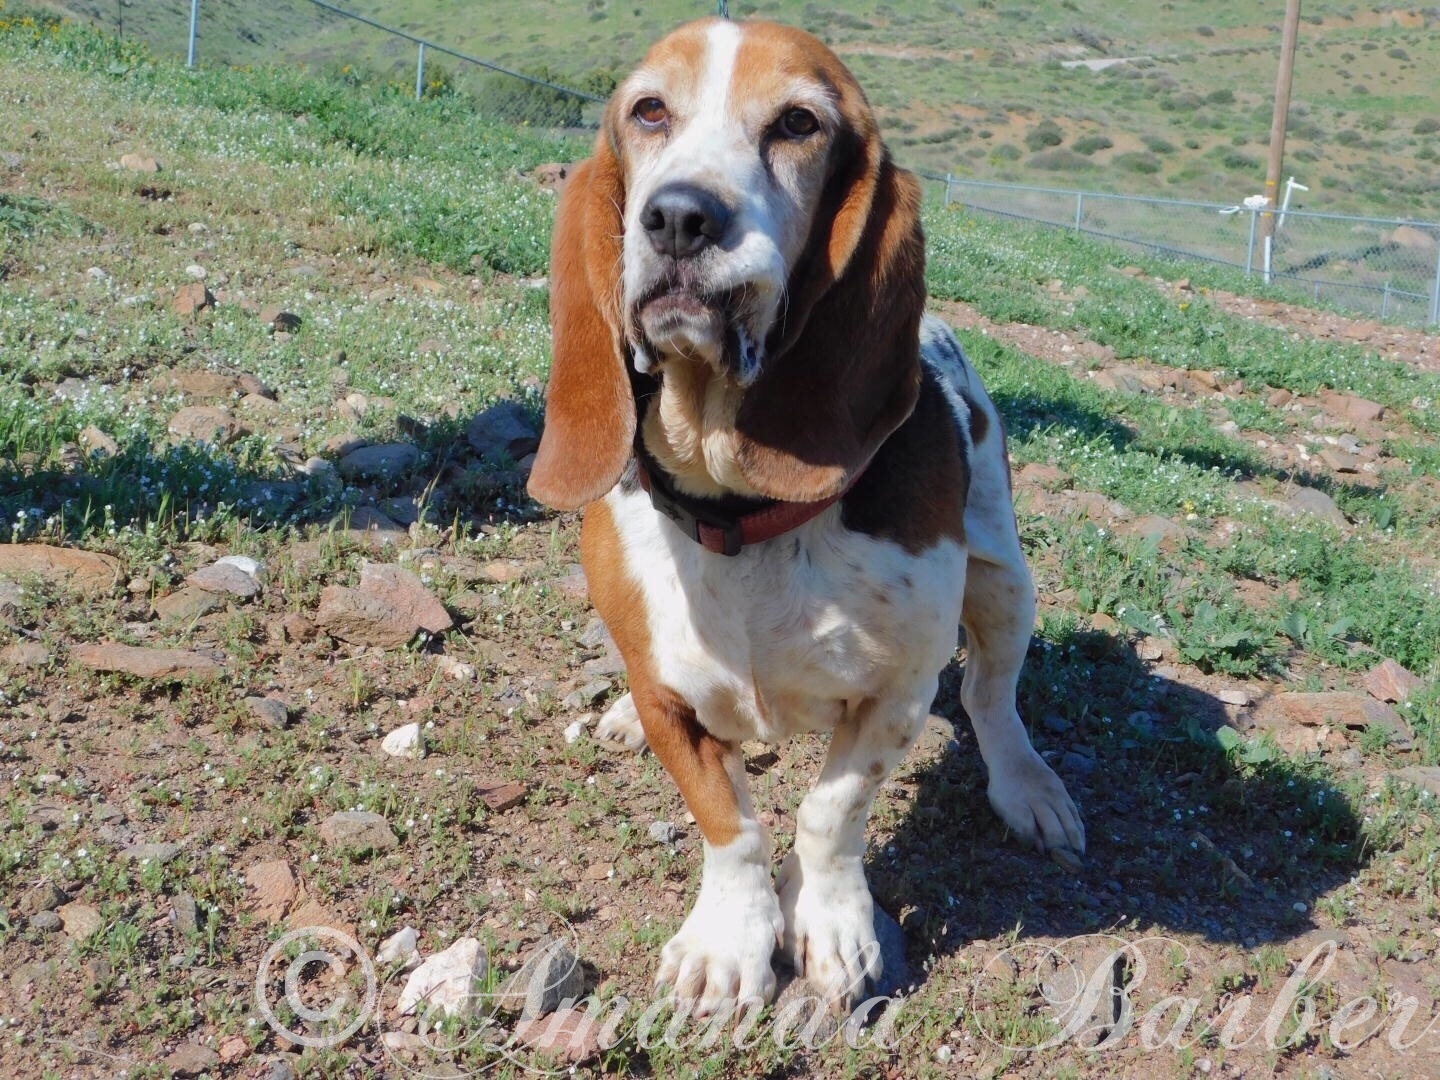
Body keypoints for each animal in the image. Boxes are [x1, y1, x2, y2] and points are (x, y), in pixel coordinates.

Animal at [527, 17, 1084, 1017]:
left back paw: (1030, 788)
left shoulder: (896, 695)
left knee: (992, 697)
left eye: (797, 122)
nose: (679, 217)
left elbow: (829, 815)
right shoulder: (677, 708)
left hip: (1005, 584)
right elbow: (731, 822)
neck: (740, 510)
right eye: (648, 110)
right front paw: (729, 940)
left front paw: (828, 926)